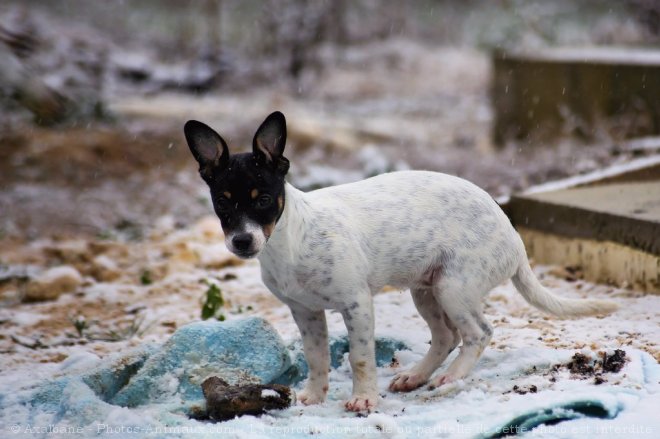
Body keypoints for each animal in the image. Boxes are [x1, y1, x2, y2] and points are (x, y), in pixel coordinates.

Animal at [184, 111, 620, 414]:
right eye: (222, 203)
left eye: (261, 199)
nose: (242, 241)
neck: (290, 241)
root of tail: (514, 237)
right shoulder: (305, 312)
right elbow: (316, 358)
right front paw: (313, 394)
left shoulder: (357, 304)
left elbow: (360, 357)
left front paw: (363, 399)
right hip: (425, 290)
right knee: (446, 337)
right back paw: (415, 376)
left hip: (454, 288)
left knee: (479, 333)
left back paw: (450, 377)